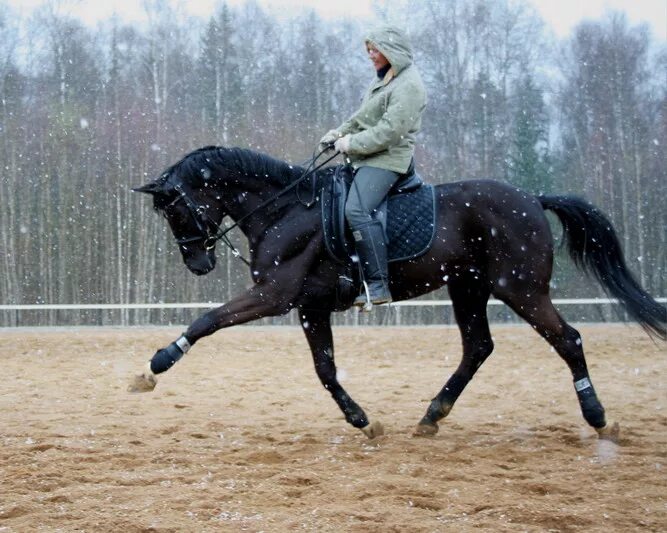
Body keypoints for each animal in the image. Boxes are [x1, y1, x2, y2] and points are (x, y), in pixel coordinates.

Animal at [129, 145, 664, 440]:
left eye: (176, 211)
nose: (198, 264)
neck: (286, 209)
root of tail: (532, 199)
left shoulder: (275, 295)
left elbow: (207, 320)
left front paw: (155, 366)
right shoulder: (310, 306)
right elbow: (325, 369)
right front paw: (363, 421)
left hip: (521, 289)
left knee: (567, 339)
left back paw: (599, 418)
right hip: (468, 287)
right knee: (478, 347)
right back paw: (431, 417)